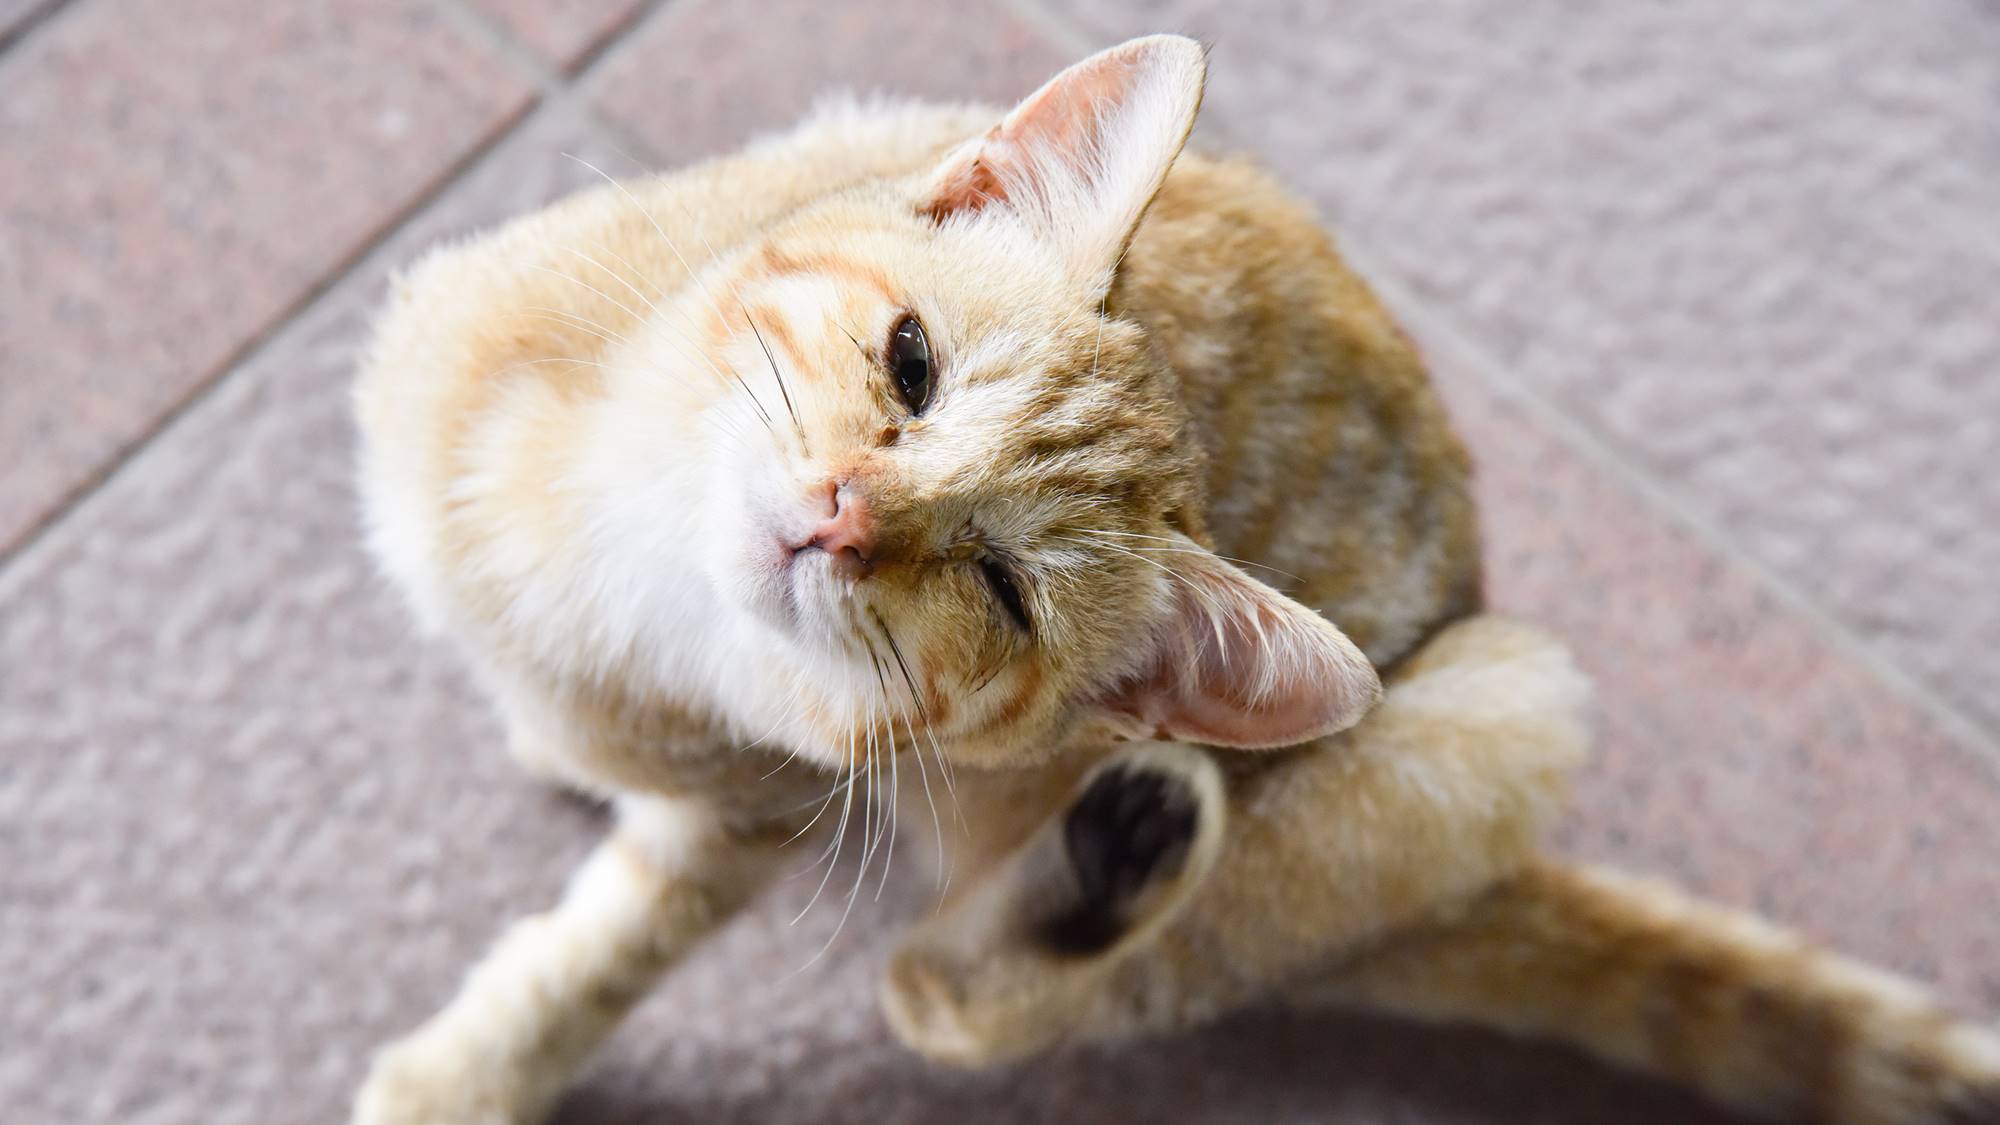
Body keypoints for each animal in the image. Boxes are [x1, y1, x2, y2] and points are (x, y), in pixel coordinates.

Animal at [352, 35, 1992, 1120]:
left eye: (1002, 587)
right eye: (910, 361)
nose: (839, 516)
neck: (620, 573)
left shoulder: (747, 811)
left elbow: (608, 952)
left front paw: (463, 1075)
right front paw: (550, 750)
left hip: (1501, 706)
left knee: (957, 996)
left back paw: (1119, 851)